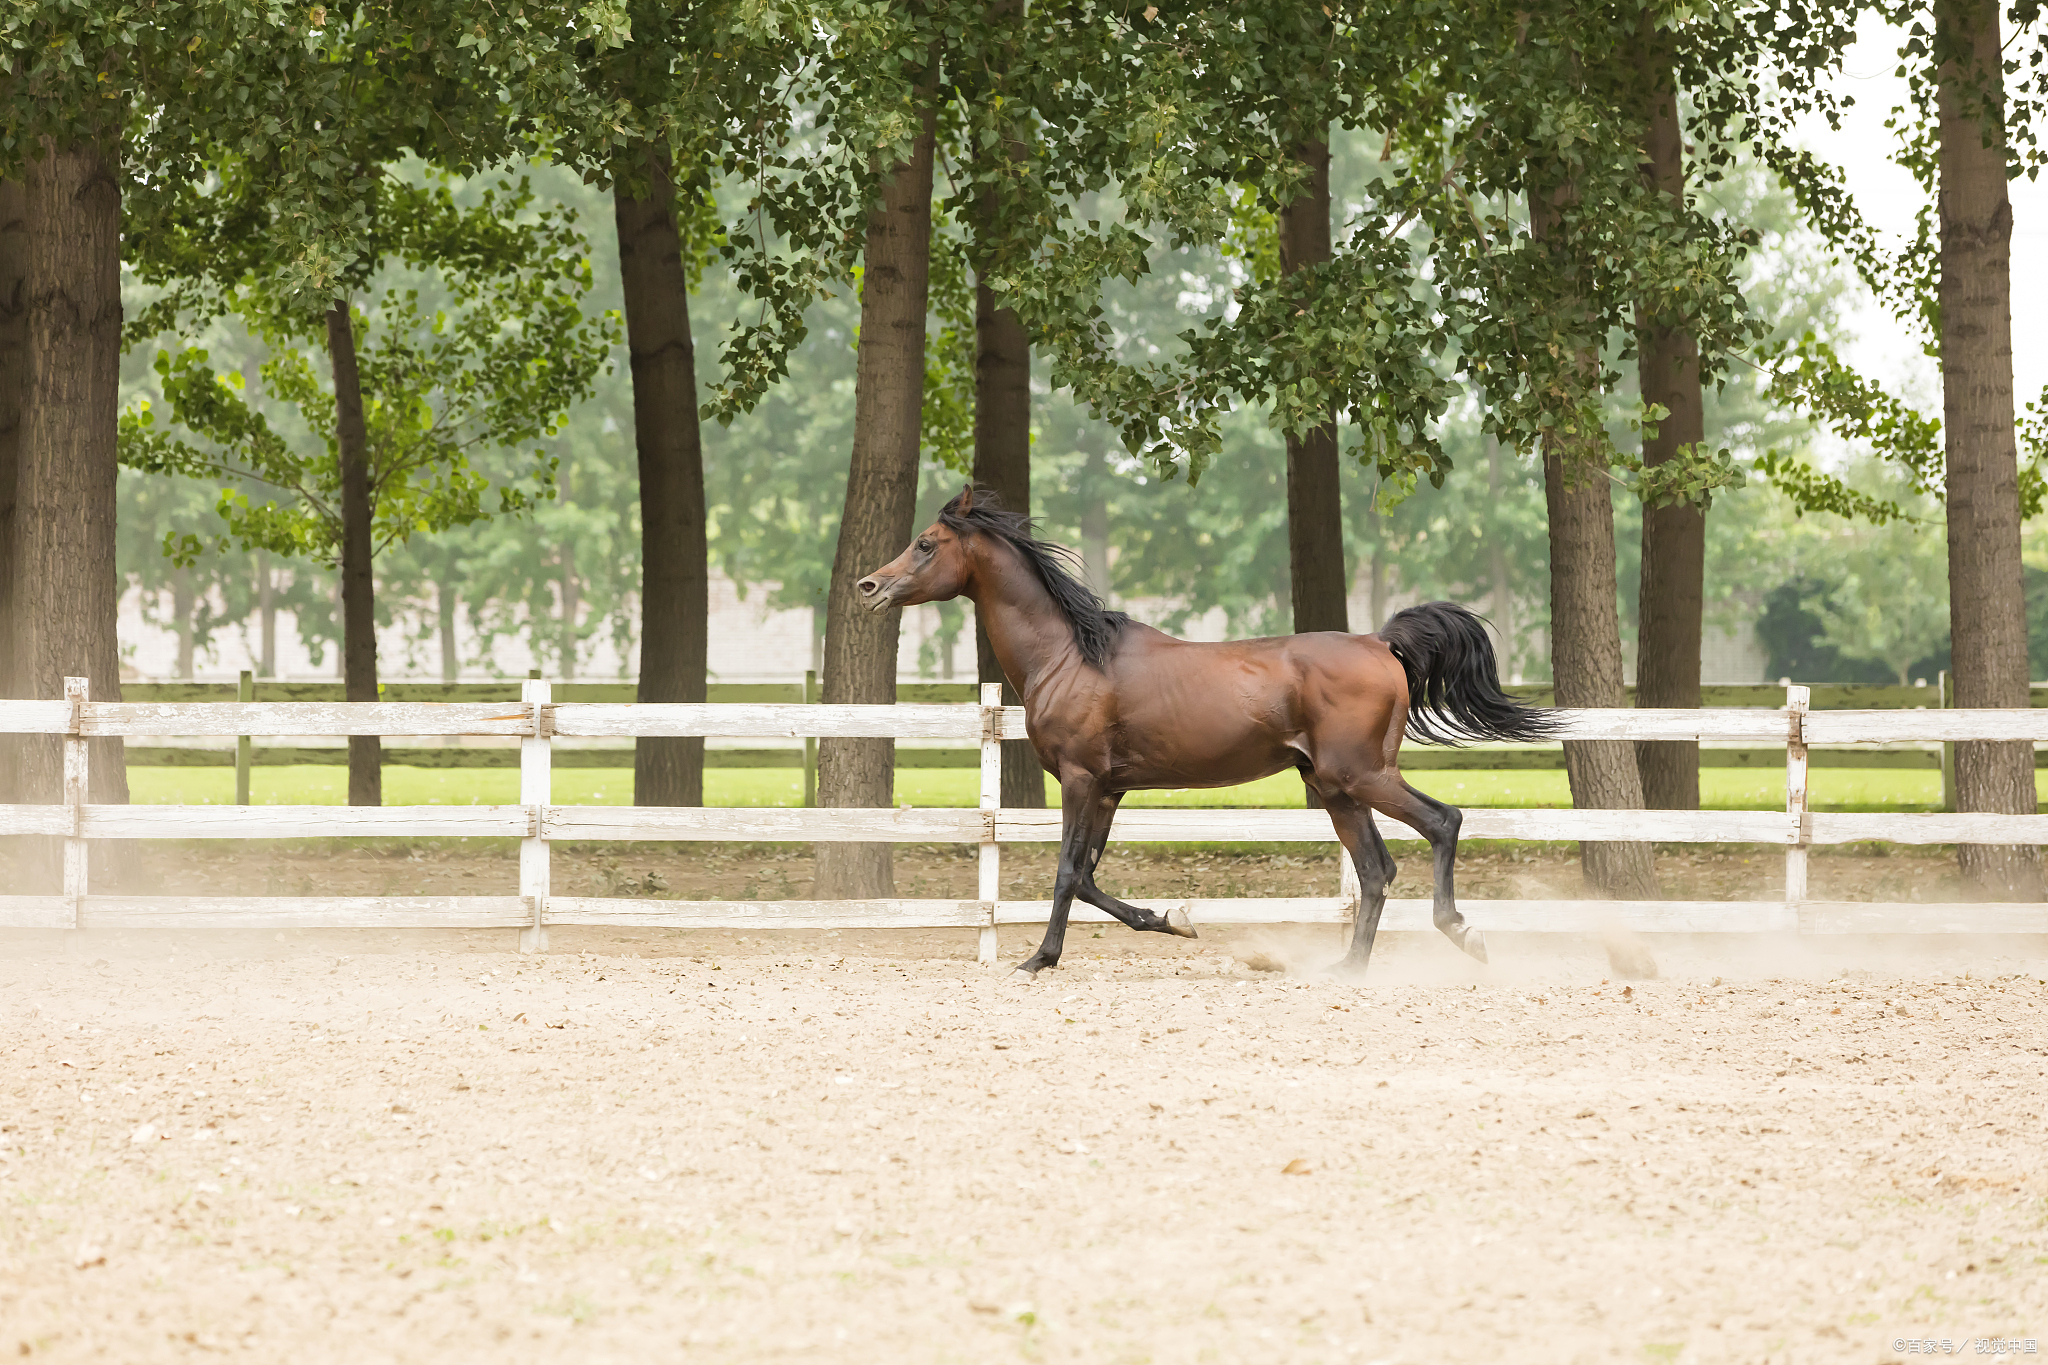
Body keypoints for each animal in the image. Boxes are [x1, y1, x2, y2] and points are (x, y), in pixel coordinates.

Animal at [851, 485, 1548, 978]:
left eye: (926, 543)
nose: (869, 587)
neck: (1071, 655)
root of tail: (1380, 643)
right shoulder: (1108, 790)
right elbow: (1089, 876)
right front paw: (1174, 919)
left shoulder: (1080, 781)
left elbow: (1069, 872)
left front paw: (1037, 960)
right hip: (1334, 788)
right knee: (1376, 870)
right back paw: (1347, 967)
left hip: (1361, 775)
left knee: (1443, 823)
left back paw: (1463, 933)